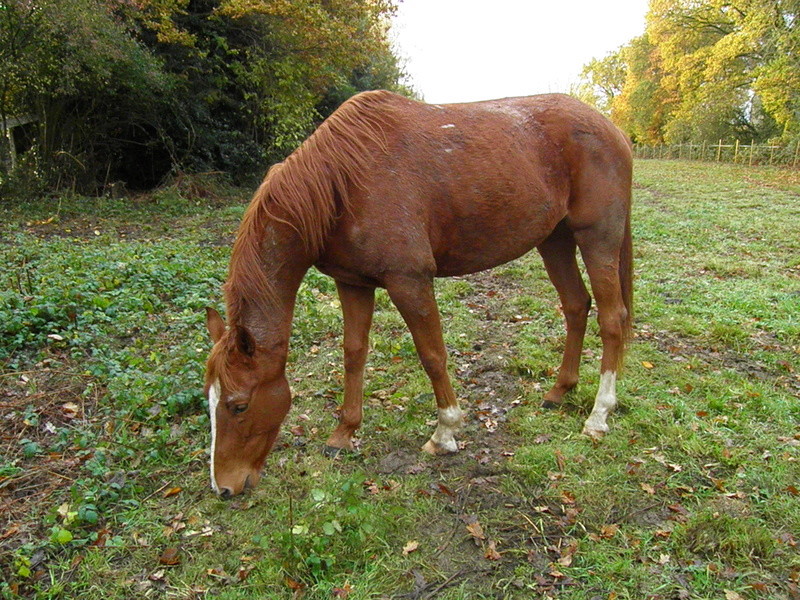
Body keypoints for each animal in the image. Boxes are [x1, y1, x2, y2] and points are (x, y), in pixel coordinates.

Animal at [205, 89, 632, 496]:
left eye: (238, 406)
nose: (224, 488)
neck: (344, 181)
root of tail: (611, 129)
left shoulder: (409, 281)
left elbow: (432, 356)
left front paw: (445, 433)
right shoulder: (353, 283)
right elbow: (354, 353)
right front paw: (343, 433)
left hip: (597, 238)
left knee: (612, 320)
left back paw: (598, 418)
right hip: (554, 240)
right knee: (576, 306)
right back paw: (559, 391)